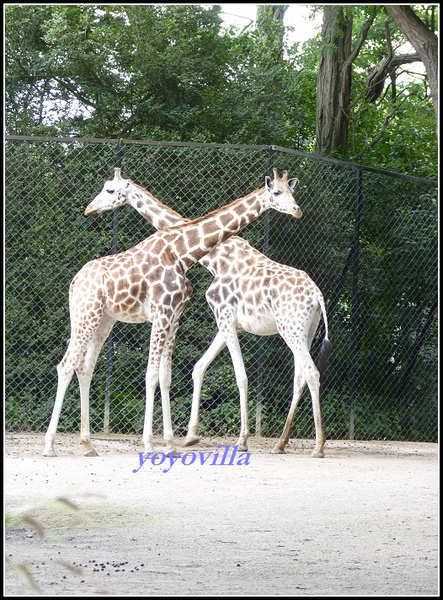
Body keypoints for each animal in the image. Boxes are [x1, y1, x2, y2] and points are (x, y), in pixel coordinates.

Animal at [42, 166, 302, 458]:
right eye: (277, 192)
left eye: (291, 191)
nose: (297, 211)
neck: (181, 253)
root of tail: (75, 281)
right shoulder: (162, 313)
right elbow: (151, 376)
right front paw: (150, 443)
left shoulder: (174, 315)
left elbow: (164, 377)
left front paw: (169, 444)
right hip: (86, 315)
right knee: (66, 365)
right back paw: (50, 445)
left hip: (103, 320)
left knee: (84, 368)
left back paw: (88, 444)